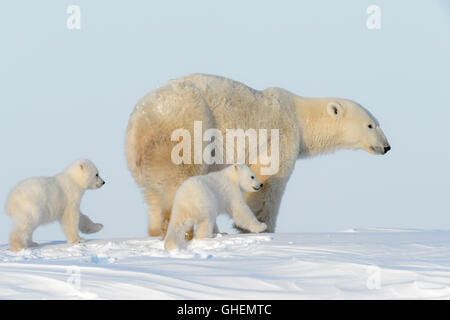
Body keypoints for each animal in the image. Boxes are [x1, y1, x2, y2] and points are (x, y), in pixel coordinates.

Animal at [124, 73, 390, 238]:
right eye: (370, 125)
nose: (387, 147)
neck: (298, 114)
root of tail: (142, 118)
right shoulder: (280, 132)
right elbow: (270, 178)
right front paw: (263, 227)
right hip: (188, 127)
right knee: (181, 178)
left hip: (140, 154)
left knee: (152, 191)